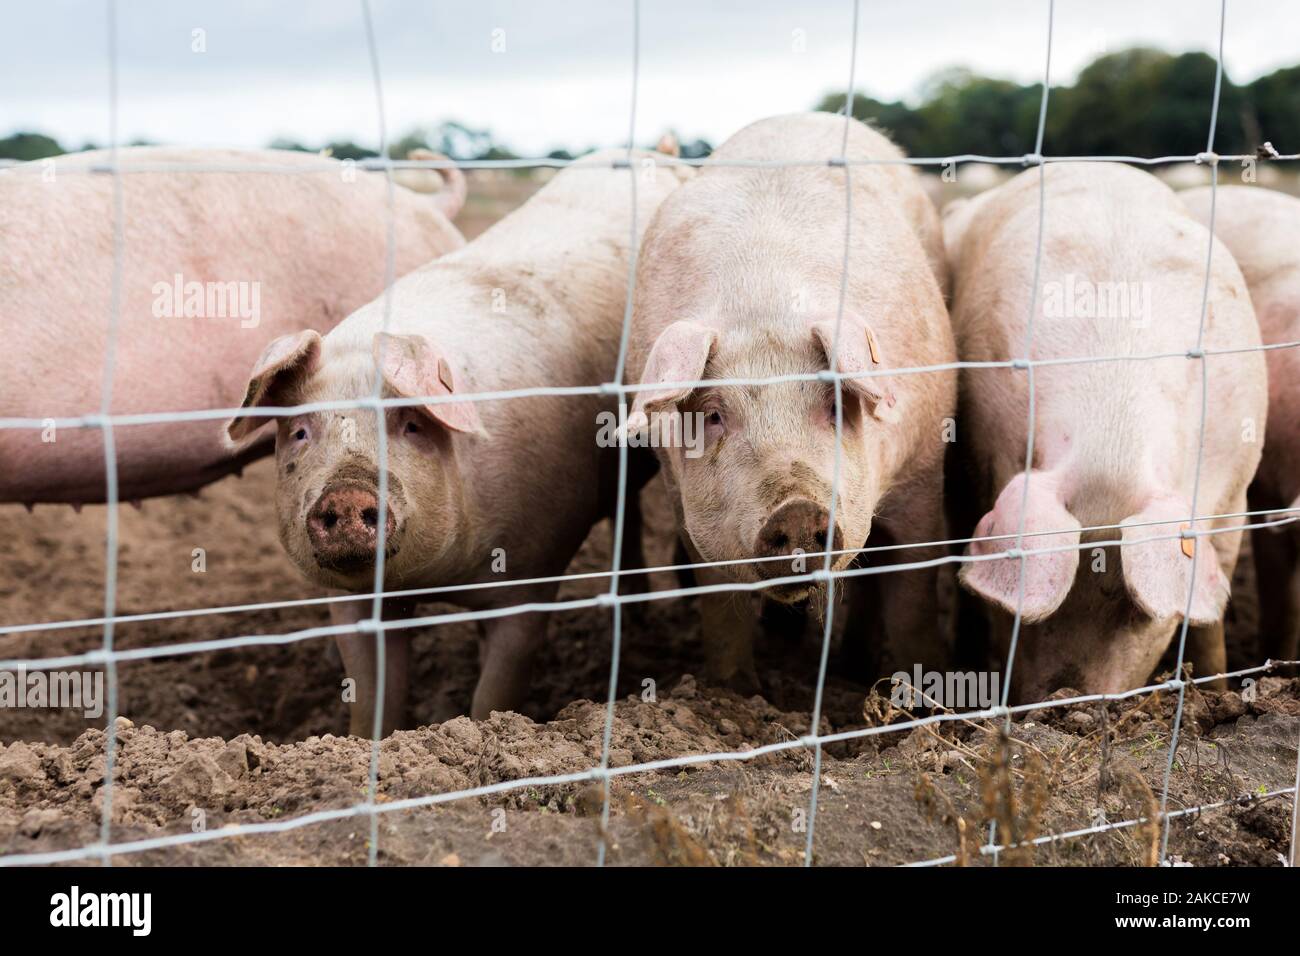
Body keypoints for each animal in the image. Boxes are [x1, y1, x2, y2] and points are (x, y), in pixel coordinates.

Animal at [226, 149, 691, 738]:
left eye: (412, 425)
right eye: (302, 431)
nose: (347, 493)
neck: (433, 583)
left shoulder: (530, 578)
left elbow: (494, 694)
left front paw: (486, 729)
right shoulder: (349, 603)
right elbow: (372, 697)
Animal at [624, 113, 961, 697]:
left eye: (836, 407)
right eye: (714, 416)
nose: (798, 509)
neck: (764, 303)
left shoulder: (923, 469)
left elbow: (912, 596)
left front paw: (929, 697)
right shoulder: (683, 499)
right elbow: (722, 611)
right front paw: (736, 696)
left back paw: (852, 667)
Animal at [946, 162, 1268, 702]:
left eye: (1137, 612)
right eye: (1034, 616)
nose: (1066, 703)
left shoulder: (1235, 491)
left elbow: (1212, 610)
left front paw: (1219, 688)